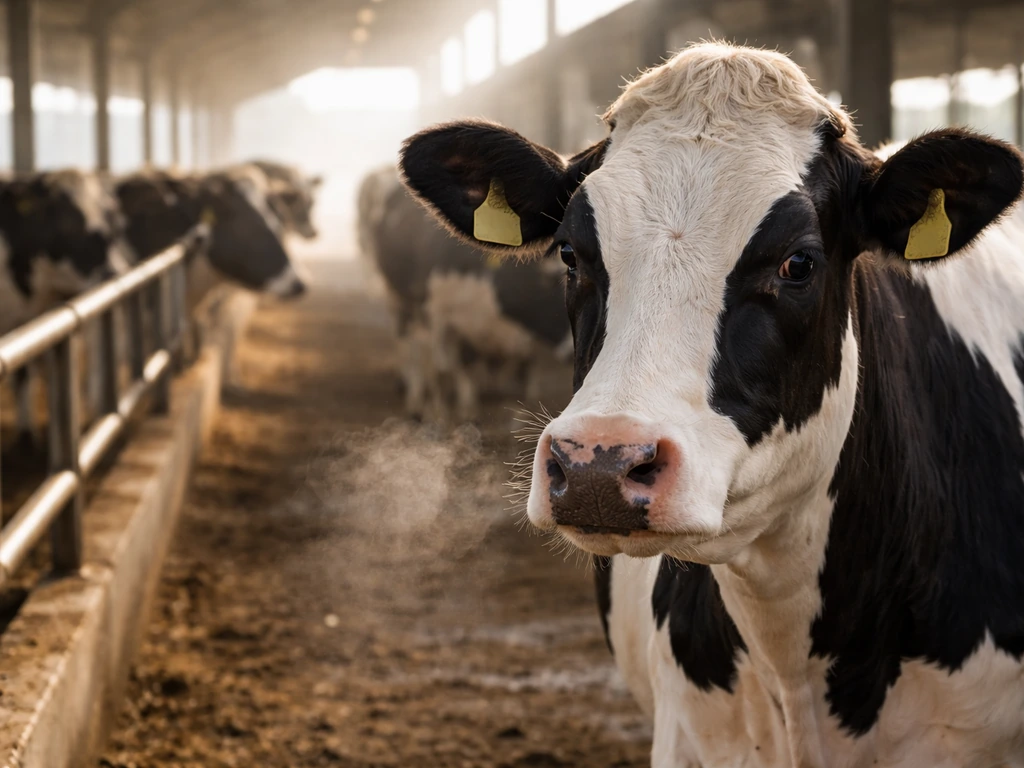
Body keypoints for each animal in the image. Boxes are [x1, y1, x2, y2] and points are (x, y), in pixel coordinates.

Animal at [359, 166, 569, 421]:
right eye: (552, 286)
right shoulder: (439, 314)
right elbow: (443, 369)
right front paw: (440, 415)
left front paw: (469, 409)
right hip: (398, 297)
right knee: (409, 345)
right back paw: (414, 398)